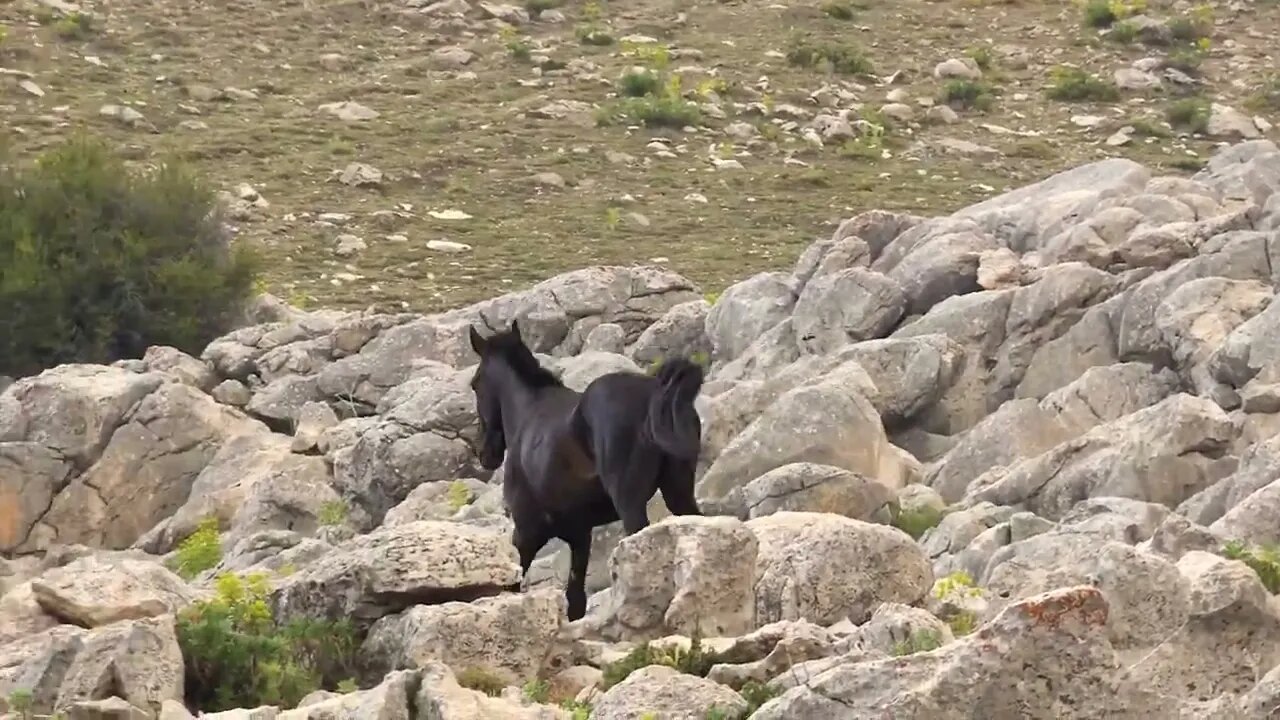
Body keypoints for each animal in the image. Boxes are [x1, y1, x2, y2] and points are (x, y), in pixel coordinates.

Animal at [471, 319, 706, 617]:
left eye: (475, 383)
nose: (484, 453)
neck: (528, 415)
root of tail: (656, 393)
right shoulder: (579, 535)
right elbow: (575, 600)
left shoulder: (526, 532)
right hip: (679, 492)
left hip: (630, 504)